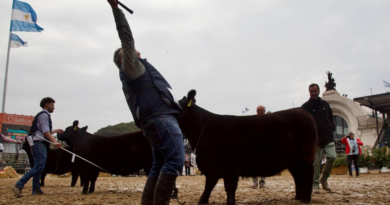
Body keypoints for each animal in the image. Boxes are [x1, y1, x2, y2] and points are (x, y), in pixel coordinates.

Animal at [178, 90, 318, 204]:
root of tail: (303, 112)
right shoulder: (212, 167)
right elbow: (208, 186)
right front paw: (202, 201)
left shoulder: (231, 166)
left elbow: (229, 187)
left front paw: (230, 202)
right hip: (292, 161)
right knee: (298, 176)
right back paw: (298, 197)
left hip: (304, 155)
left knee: (307, 173)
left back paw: (306, 199)